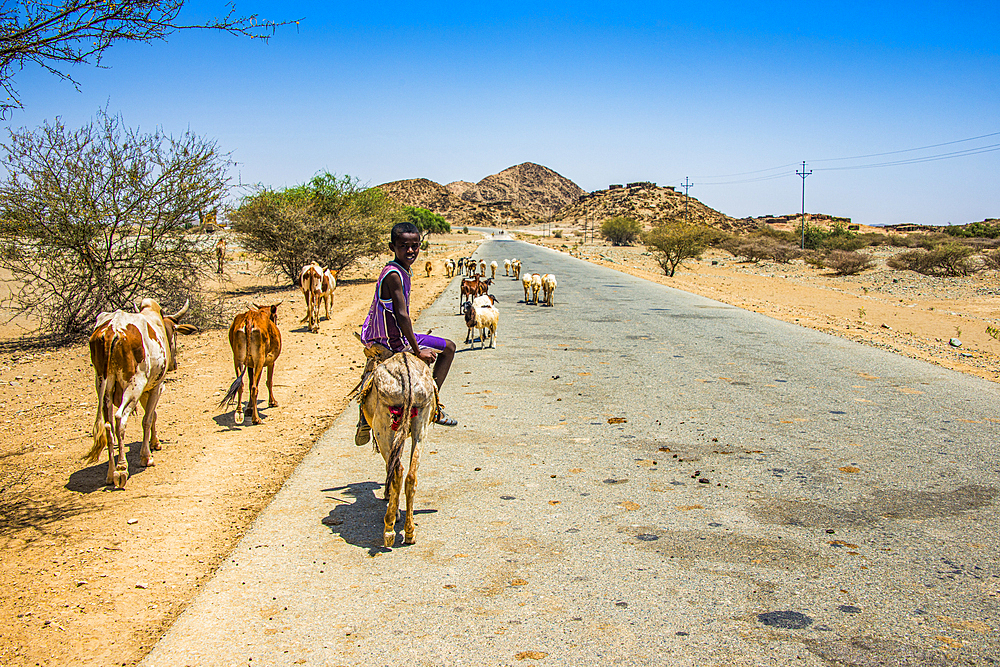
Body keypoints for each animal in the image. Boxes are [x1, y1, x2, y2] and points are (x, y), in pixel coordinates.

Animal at [87, 300, 196, 488]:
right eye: (174, 332)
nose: (174, 364)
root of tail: (112, 330)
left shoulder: (147, 389)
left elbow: (152, 415)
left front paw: (154, 442)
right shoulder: (157, 386)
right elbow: (148, 418)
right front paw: (146, 456)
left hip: (103, 386)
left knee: (108, 426)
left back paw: (110, 473)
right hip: (133, 385)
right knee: (120, 419)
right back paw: (122, 469)